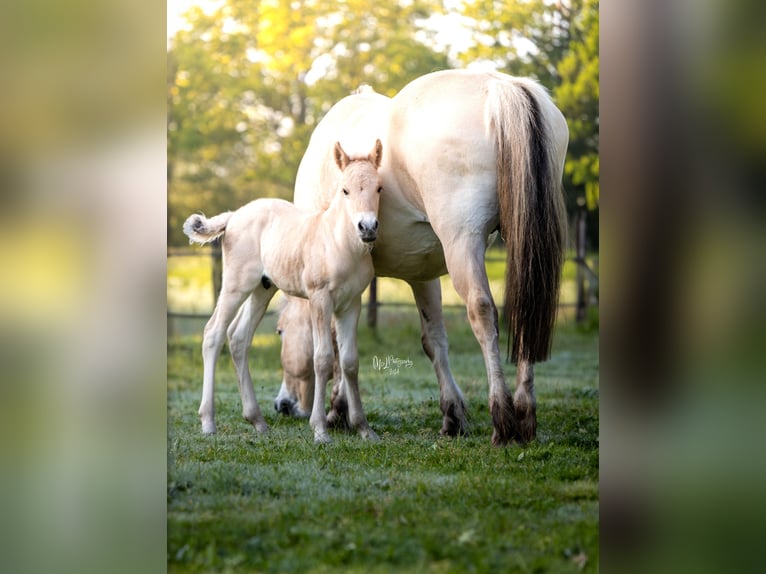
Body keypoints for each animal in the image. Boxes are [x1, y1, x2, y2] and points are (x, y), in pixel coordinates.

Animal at [184, 140, 388, 446]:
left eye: (379, 188)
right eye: (345, 190)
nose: (367, 228)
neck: (338, 243)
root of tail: (234, 216)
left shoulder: (352, 304)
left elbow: (350, 362)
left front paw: (364, 429)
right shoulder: (320, 299)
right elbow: (322, 359)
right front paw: (320, 431)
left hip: (262, 289)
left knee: (239, 338)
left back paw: (257, 421)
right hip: (236, 284)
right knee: (213, 334)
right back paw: (208, 422)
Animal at [270, 70, 568, 448]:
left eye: (280, 331)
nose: (282, 404)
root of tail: (501, 86)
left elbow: (336, 344)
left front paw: (337, 410)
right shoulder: (422, 275)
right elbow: (433, 340)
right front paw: (452, 415)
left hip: (462, 244)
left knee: (483, 314)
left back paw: (503, 419)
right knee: (526, 314)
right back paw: (525, 414)